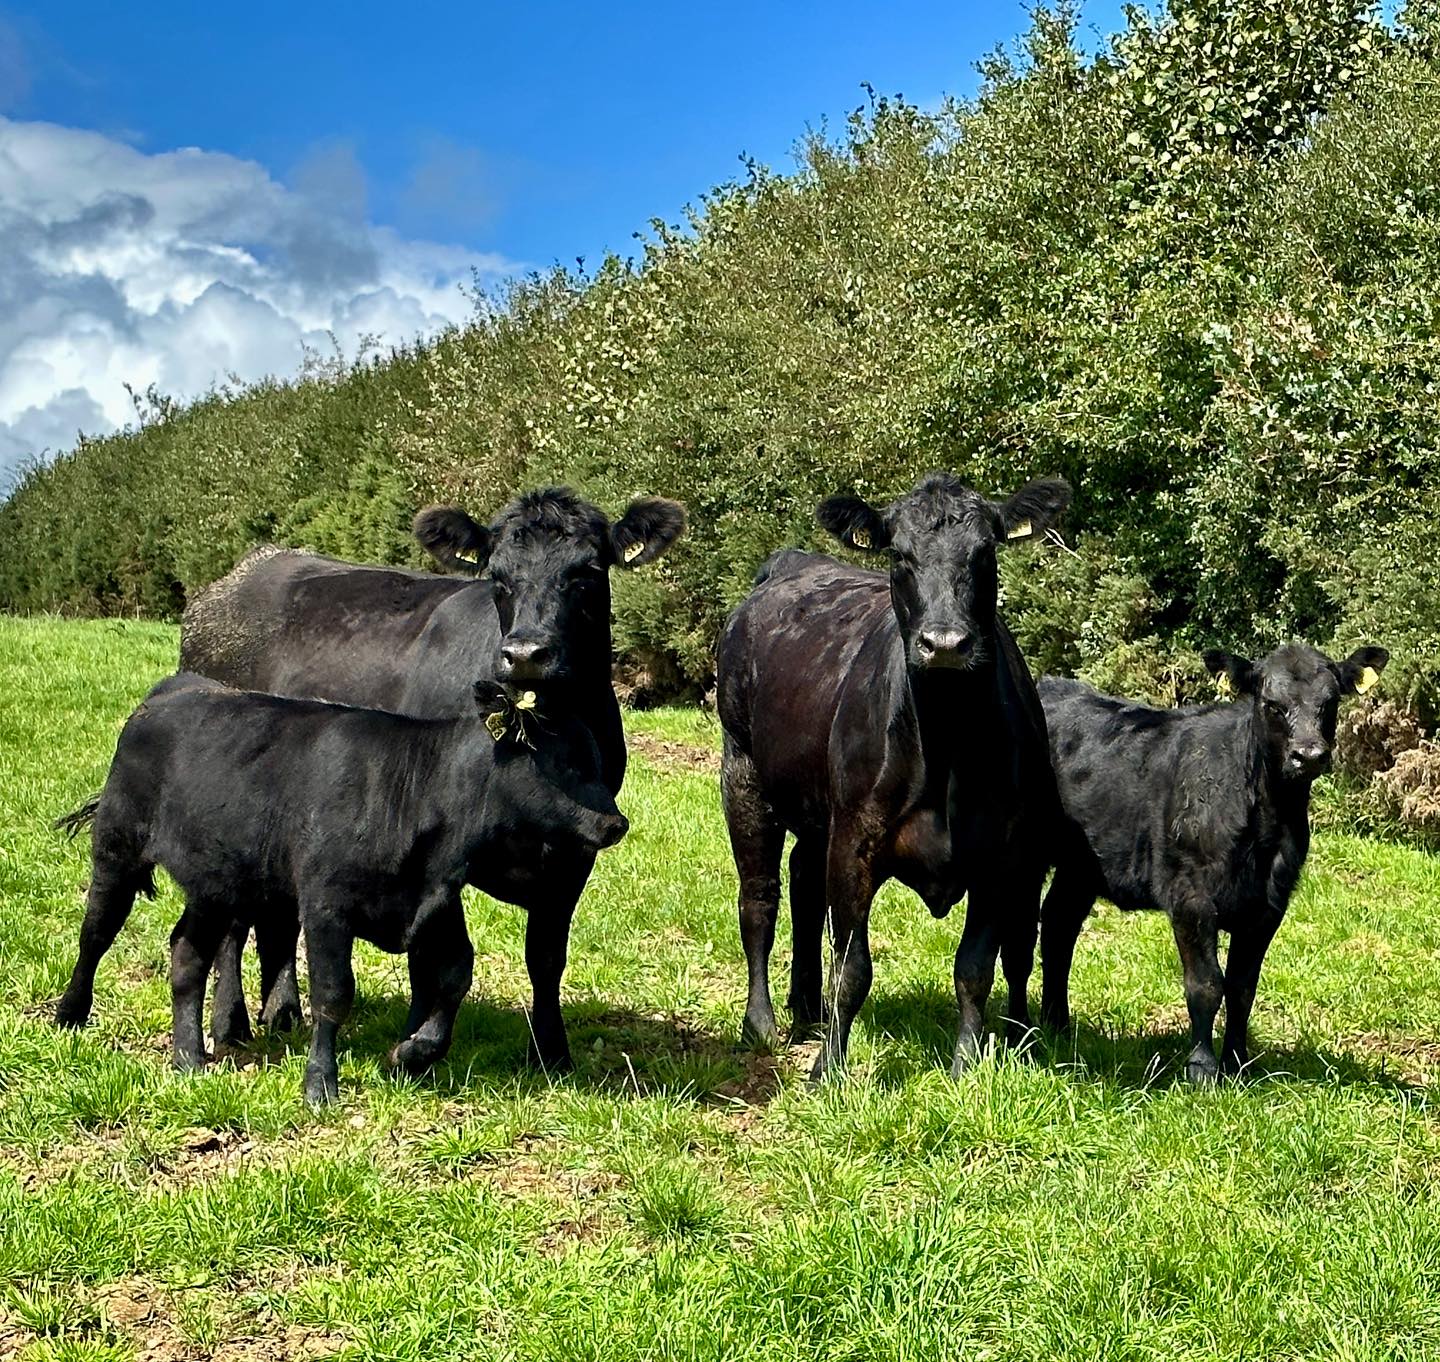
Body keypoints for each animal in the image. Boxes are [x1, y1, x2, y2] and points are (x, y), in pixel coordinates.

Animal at [54, 673, 629, 1105]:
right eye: (565, 763)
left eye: (597, 762)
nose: (615, 823)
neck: (413, 791)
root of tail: (171, 692)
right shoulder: (326, 906)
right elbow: (333, 993)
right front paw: (320, 1084)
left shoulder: (433, 903)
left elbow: (453, 977)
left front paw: (411, 1053)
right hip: (116, 850)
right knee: (96, 934)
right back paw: (69, 1016)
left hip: (216, 881)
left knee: (187, 955)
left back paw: (189, 1058)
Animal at [177, 487, 684, 1069]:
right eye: (496, 577)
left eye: (587, 572)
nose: (525, 654)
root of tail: (243, 571)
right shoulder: (435, 849)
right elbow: (443, 962)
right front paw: (417, 1048)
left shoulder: (575, 852)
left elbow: (545, 958)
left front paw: (552, 1054)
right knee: (235, 923)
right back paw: (230, 1023)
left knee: (276, 915)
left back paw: (281, 1011)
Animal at [716, 472, 1072, 1082]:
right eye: (900, 556)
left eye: (985, 553)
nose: (945, 643)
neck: (945, 741)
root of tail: (792, 562)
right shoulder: (855, 843)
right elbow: (854, 966)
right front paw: (829, 1069)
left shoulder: (1000, 855)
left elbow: (974, 967)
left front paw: (964, 1065)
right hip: (742, 771)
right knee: (759, 897)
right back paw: (761, 1022)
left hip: (817, 809)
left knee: (803, 881)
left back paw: (806, 1010)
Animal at [1037, 641, 1389, 1082]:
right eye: (1272, 704)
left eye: (1330, 702)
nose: (1308, 756)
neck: (1266, 822)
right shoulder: (1190, 897)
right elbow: (1205, 984)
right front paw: (1202, 1070)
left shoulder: (1268, 906)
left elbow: (1242, 987)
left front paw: (1237, 1063)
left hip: (1080, 867)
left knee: (1058, 926)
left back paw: (1057, 1027)